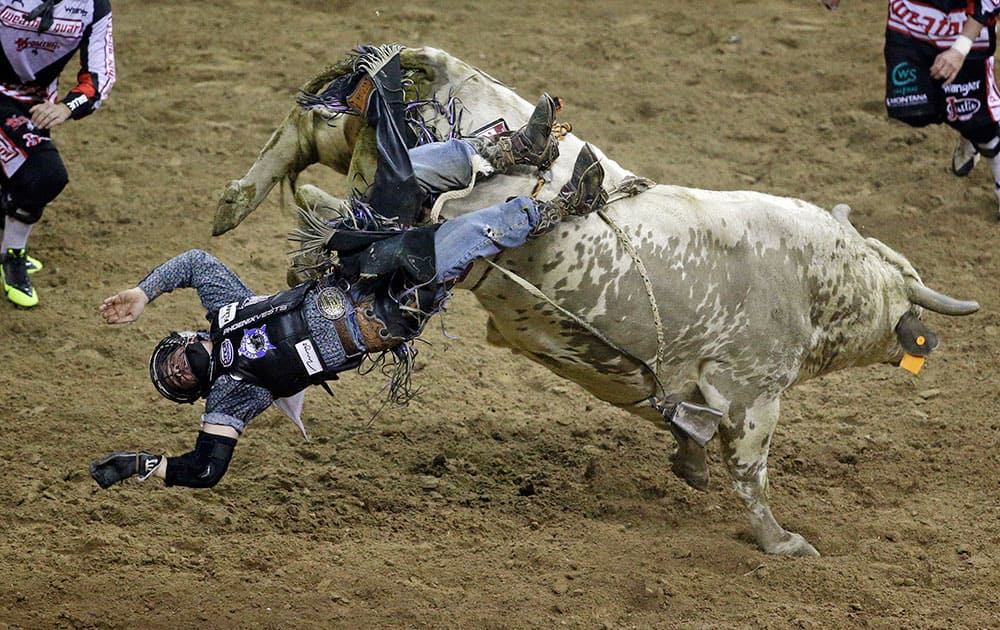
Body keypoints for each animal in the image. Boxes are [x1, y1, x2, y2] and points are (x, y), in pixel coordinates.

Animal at [213, 45, 976, 556]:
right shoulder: (754, 392)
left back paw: (243, 201)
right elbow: (750, 472)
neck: (817, 275)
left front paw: (689, 465)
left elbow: (682, 424)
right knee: (392, 203)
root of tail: (428, 58)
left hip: (364, 141)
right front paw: (780, 540)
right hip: (418, 177)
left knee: (315, 142)